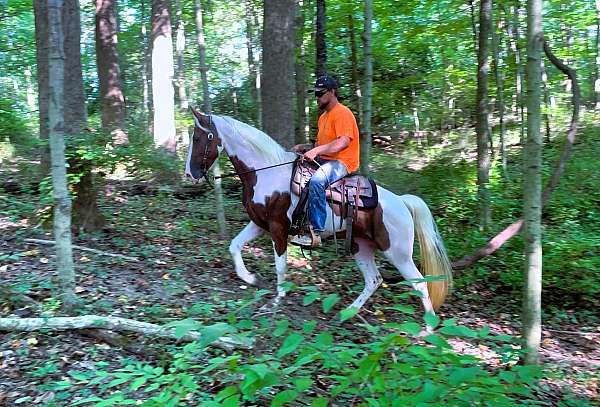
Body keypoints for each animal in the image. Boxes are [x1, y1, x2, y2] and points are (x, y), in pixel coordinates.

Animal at [185, 109, 452, 332]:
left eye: (199, 138)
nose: (189, 174)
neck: (265, 173)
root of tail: (402, 202)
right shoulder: (259, 224)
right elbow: (234, 246)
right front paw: (250, 278)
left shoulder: (278, 228)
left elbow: (280, 266)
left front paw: (275, 301)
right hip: (361, 246)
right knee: (374, 280)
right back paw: (347, 313)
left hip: (397, 252)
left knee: (420, 284)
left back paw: (428, 330)